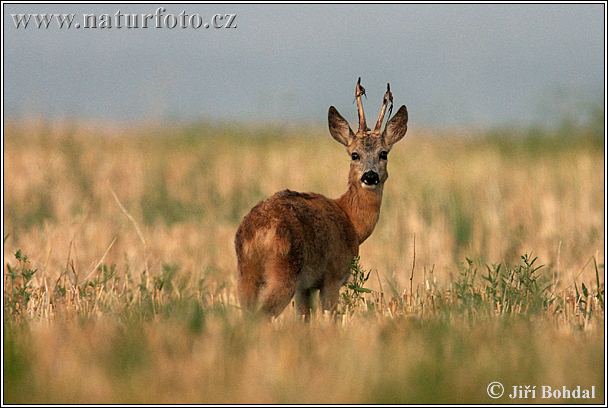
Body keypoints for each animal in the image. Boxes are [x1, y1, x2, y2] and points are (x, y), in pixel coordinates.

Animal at [234, 77, 408, 318]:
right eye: (355, 155)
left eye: (383, 154)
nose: (370, 176)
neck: (351, 221)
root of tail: (257, 233)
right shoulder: (333, 275)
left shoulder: (305, 287)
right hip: (284, 270)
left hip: (246, 274)